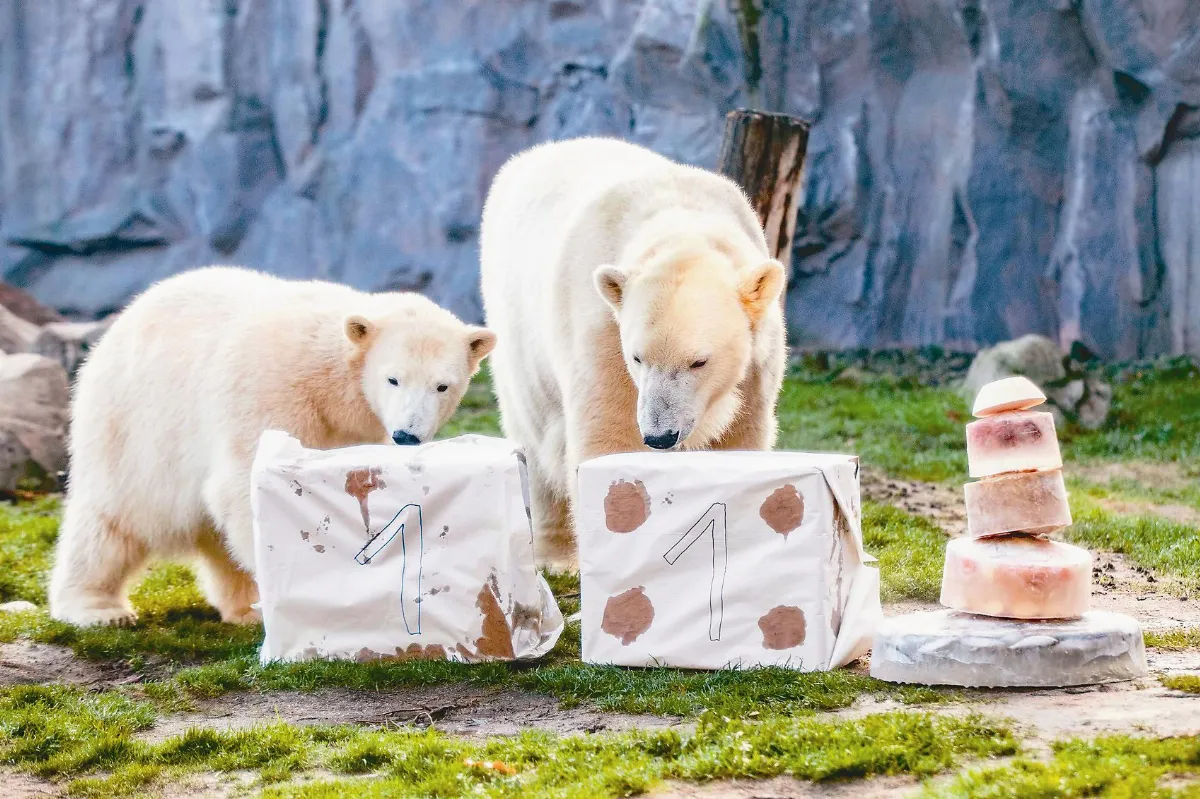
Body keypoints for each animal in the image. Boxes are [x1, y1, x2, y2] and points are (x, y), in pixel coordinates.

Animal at [49, 266, 495, 627]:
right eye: (393, 379)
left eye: (442, 386)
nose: (407, 434)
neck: (330, 382)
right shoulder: (270, 392)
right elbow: (247, 486)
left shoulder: (359, 428)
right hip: (134, 428)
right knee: (113, 520)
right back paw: (98, 608)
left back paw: (244, 608)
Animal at [480, 137, 787, 572]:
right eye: (638, 358)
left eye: (699, 361)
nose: (660, 436)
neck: (683, 224)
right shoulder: (603, 328)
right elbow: (608, 437)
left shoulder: (757, 360)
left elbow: (740, 436)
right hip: (519, 333)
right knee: (537, 438)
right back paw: (557, 555)